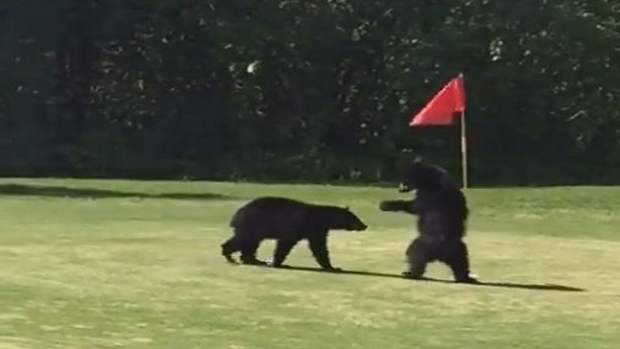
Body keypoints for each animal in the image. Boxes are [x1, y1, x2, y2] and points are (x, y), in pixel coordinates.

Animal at [220, 194, 366, 270]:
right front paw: (277, 263)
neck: (321, 218)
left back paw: (254, 260)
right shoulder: (303, 227)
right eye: (355, 217)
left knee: (251, 243)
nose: (364, 225)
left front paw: (331, 266)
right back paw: (229, 255)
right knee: (244, 240)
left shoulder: (317, 230)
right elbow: (285, 243)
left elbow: (319, 247)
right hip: (253, 224)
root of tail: (236, 215)